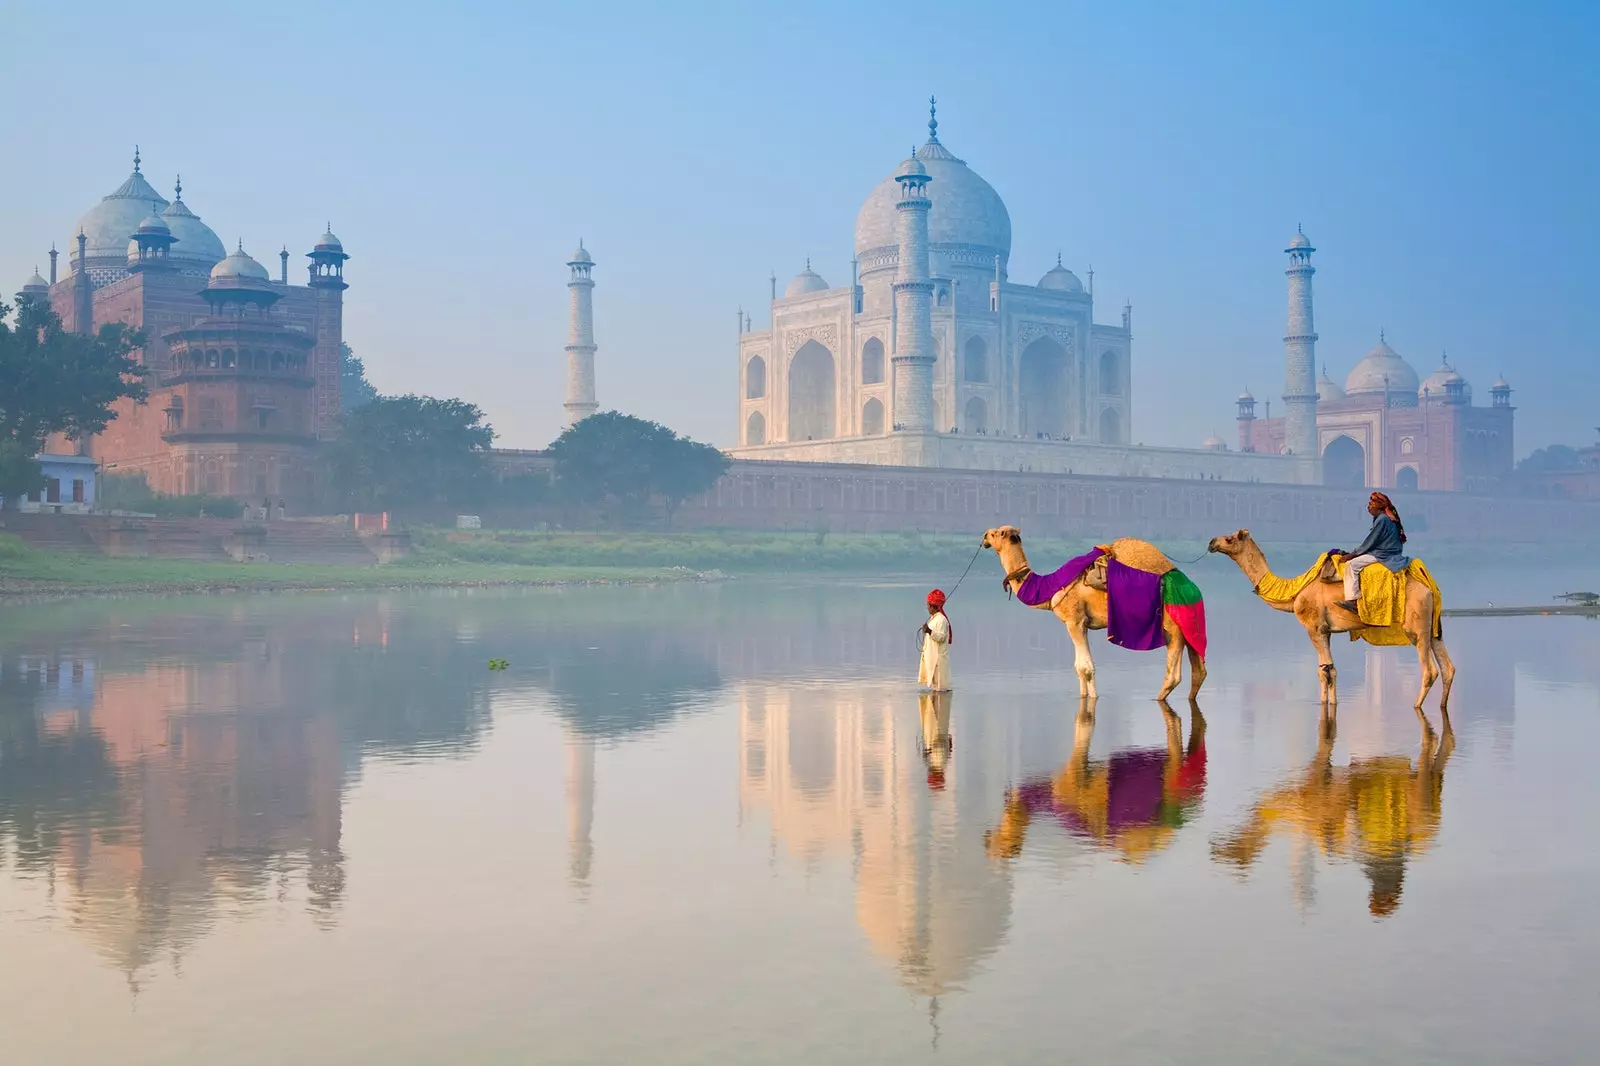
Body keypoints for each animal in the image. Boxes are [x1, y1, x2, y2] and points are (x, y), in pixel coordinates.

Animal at [972, 521, 1209, 697]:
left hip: (1171, 625)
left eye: (995, 533)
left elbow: (1085, 667)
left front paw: (1092, 699)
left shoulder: (1074, 620)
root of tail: (1192, 588)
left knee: (1174, 674)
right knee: (1198, 671)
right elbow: (1079, 667)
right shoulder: (1083, 623)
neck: (1050, 588)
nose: (984, 537)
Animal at [1203, 528, 1459, 710]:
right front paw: (1330, 704)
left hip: (1416, 624)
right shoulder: (1326, 630)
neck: (1295, 592)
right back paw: (1442, 705)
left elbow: (1322, 670)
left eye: (1229, 538)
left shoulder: (1313, 626)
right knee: (1448, 667)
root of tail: (1430, 587)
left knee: (1429, 670)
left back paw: (1416, 706)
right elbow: (1331, 670)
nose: (1211, 542)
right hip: (1433, 626)